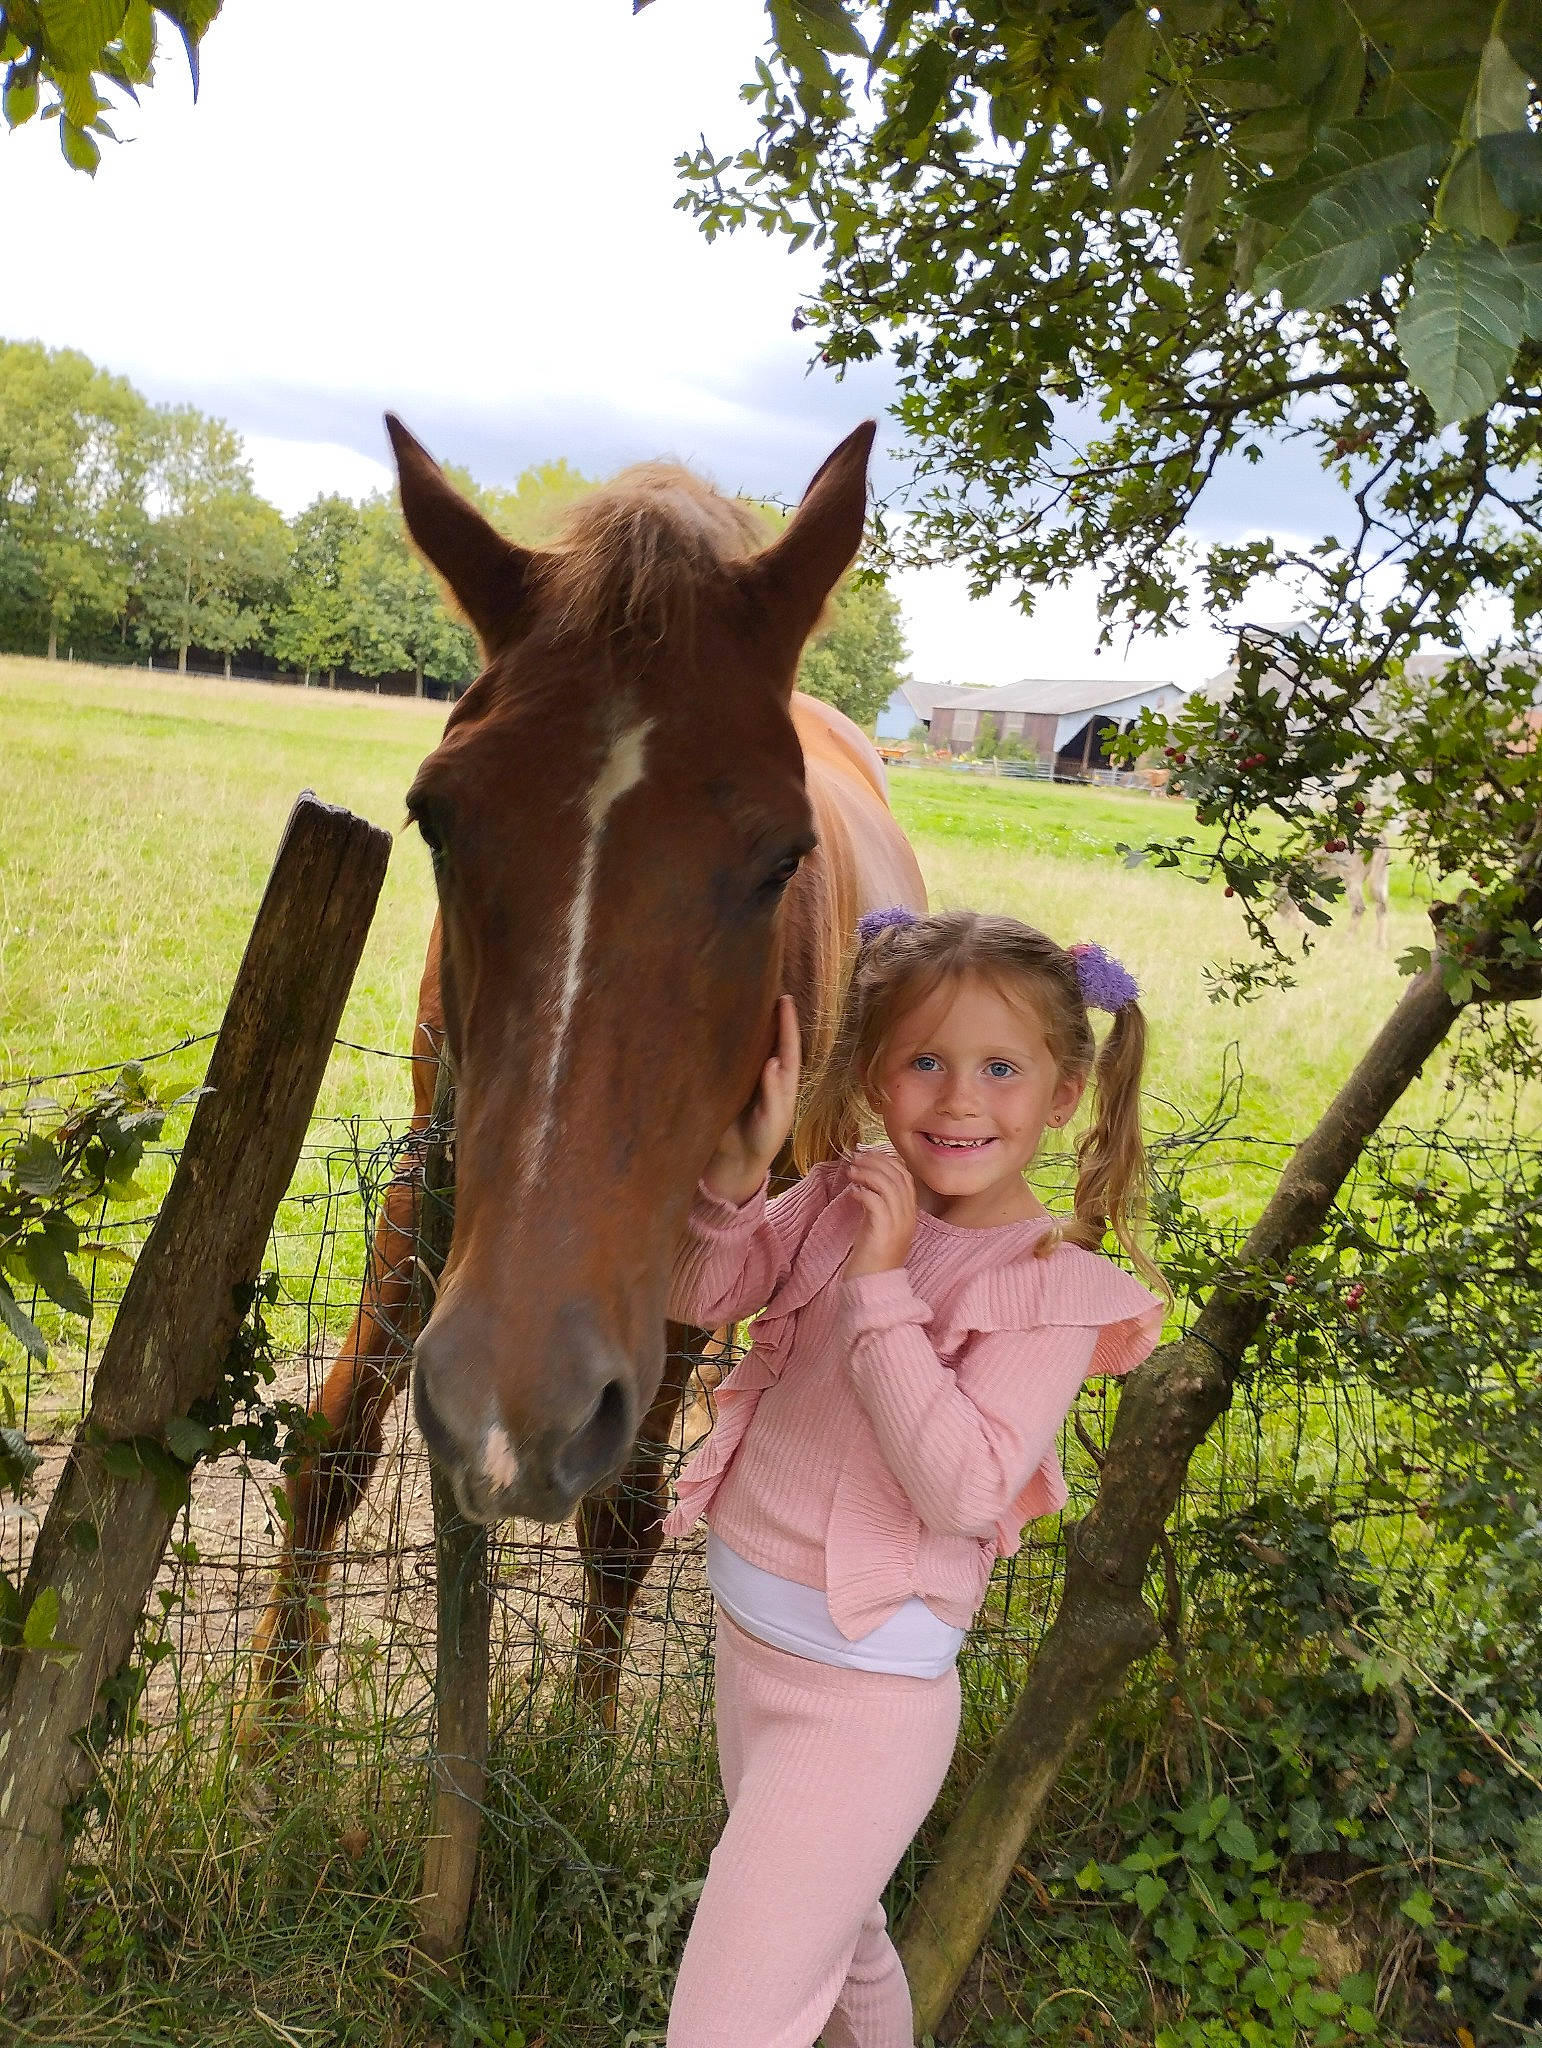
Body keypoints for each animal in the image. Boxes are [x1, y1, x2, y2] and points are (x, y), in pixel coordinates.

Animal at [245, 417, 926, 1728]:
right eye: (434, 818)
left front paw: (586, 1738)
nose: (516, 1401)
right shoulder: (436, 1170)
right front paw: (267, 1733)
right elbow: (335, 1445)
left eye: (784, 859)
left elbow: (623, 1518)